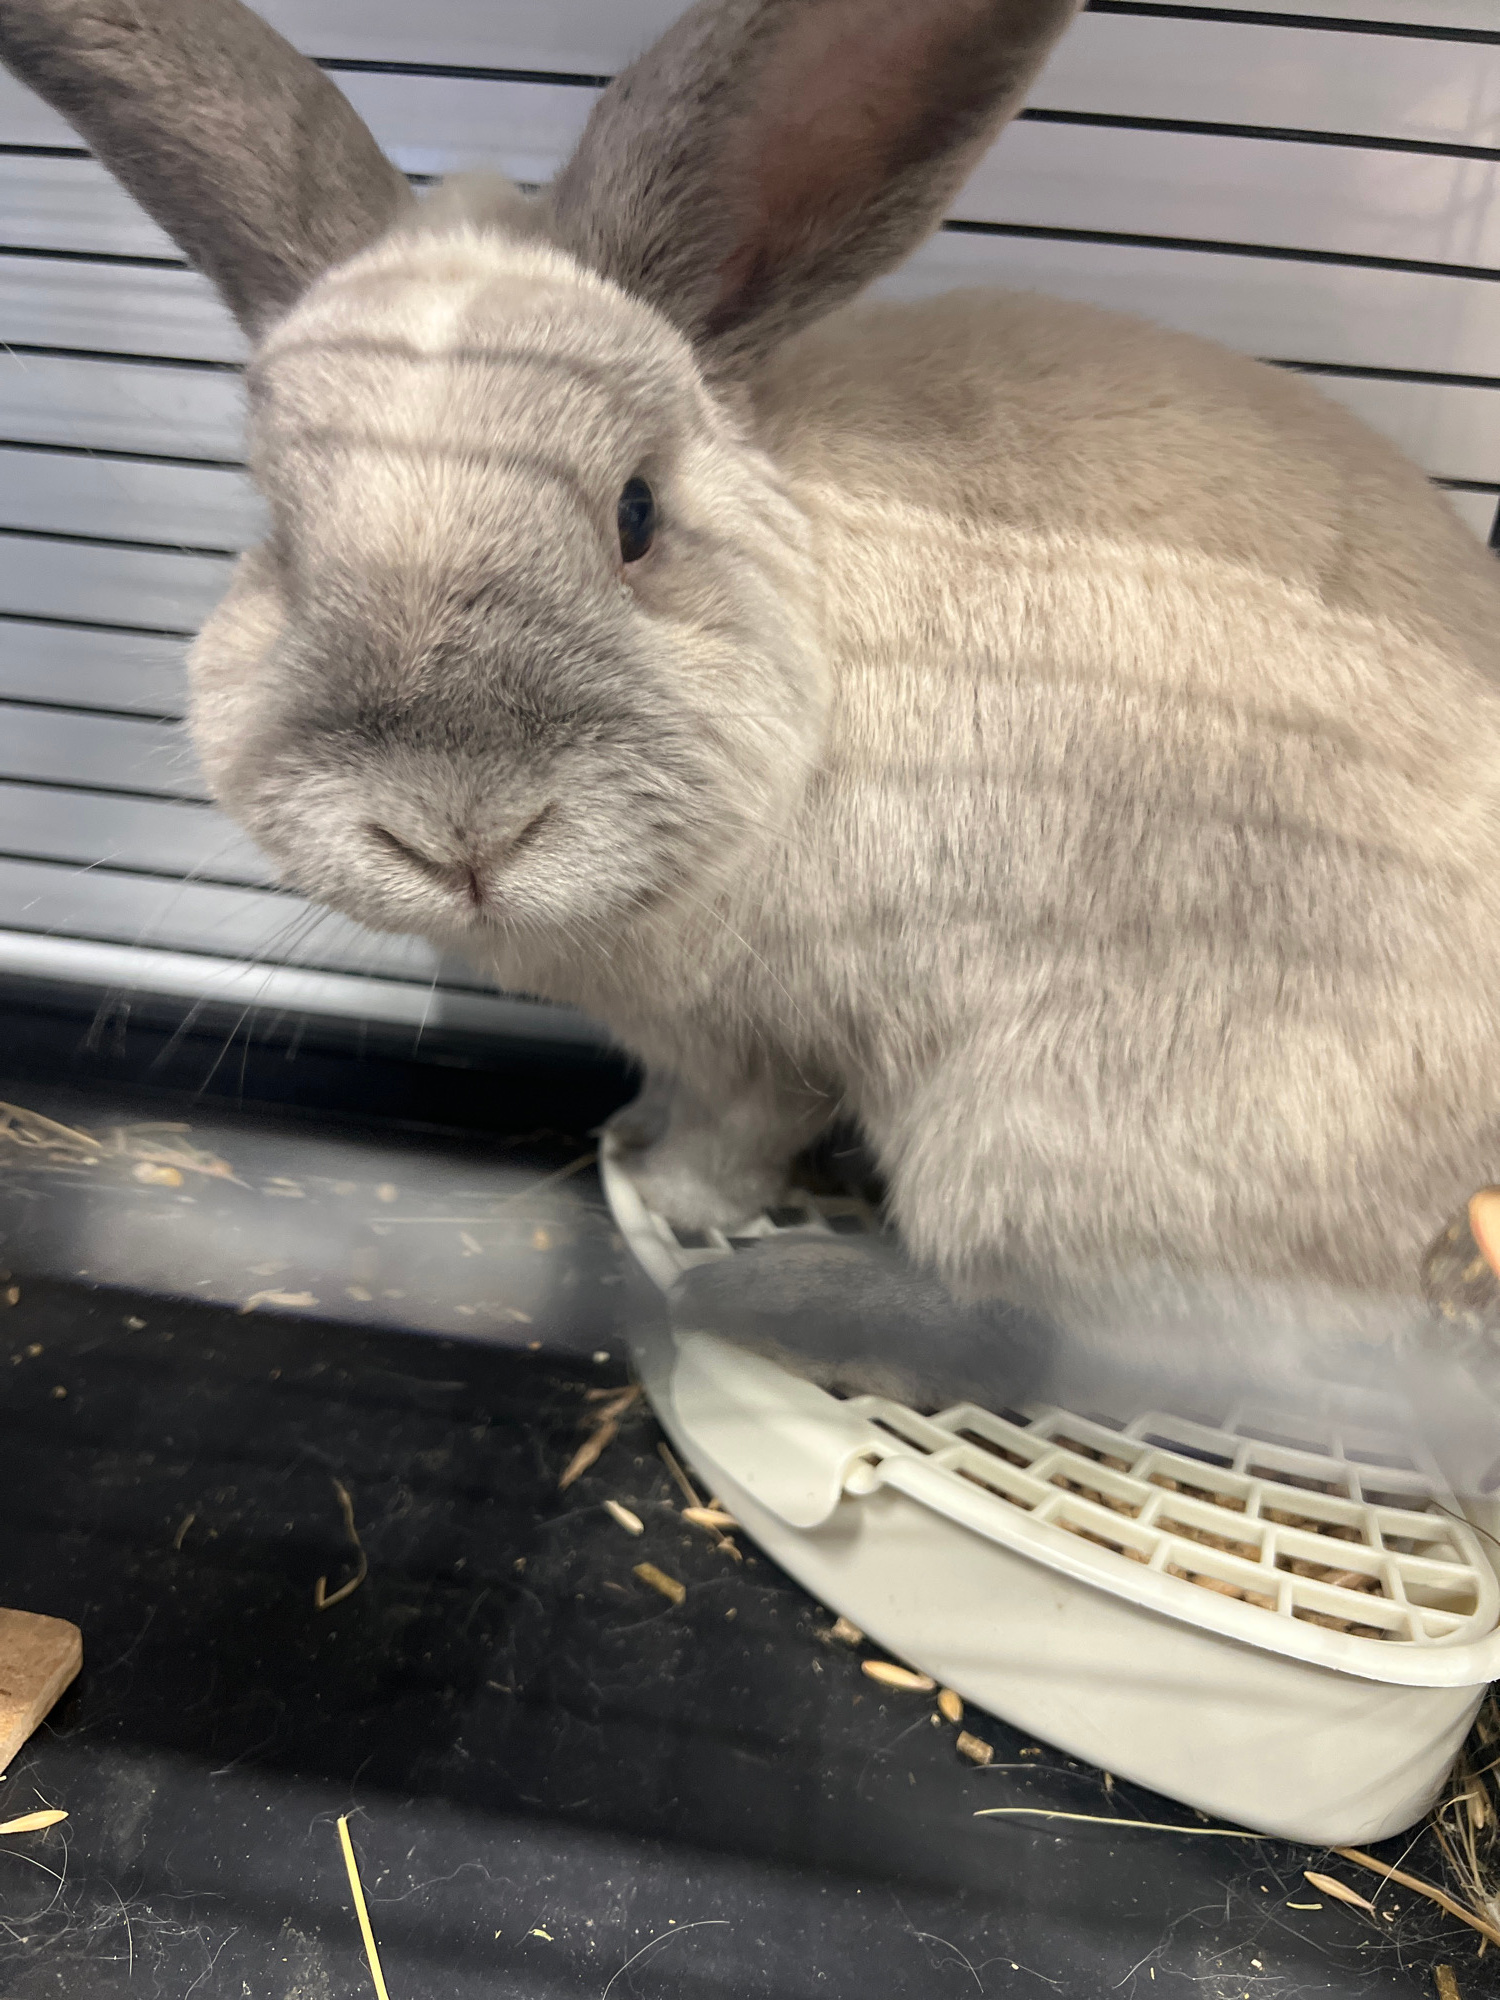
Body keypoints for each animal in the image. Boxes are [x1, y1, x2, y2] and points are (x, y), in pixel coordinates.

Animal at [9, 0, 1500, 1414]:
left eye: (636, 516)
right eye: (278, 537)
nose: (460, 837)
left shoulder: (768, 1041)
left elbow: (737, 1140)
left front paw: (672, 1199)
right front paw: (628, 1134)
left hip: (1039, 1136)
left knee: (1132, 1338)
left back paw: (782, 1300)